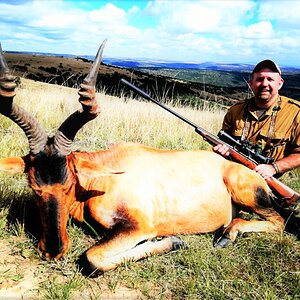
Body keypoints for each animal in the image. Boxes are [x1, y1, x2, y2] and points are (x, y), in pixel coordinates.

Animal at [0, 41, 284, 276]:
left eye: (69, 184)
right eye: (34, 187)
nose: (52, 250)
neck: (108, 173)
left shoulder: (140, 227)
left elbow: (92, 258)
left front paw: (174, 241)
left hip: (249, 196)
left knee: (278, 222)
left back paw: (227, 235)